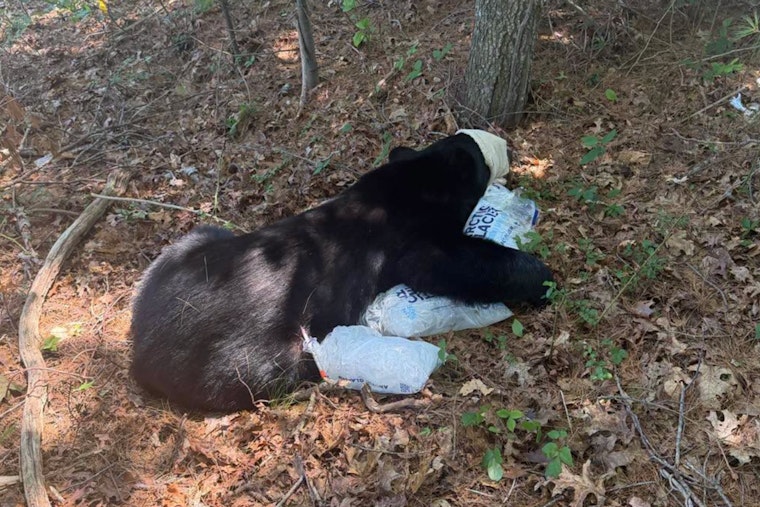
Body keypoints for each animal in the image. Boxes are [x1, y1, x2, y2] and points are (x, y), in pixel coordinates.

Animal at [130, 131, 554, 411]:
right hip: (241, 357)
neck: (411, 183)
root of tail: (139, 348)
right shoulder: (414, 240)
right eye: (481, 158)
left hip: (190, 243)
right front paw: (543, 278)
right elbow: (457, 262)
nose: (500, 145)